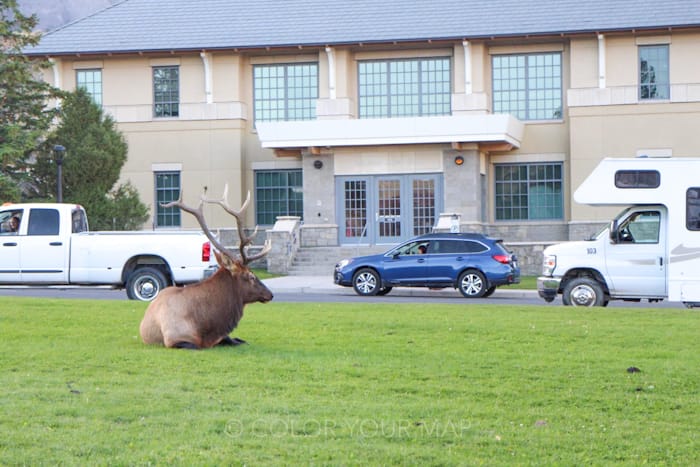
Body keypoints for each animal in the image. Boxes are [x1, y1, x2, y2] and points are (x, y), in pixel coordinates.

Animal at [139, 188, 274, 350]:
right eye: (250, 275)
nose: (270, 294)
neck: (206, 325)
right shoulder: (175, 339)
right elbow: (198, 346)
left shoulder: (222, 336)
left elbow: (239, 341)